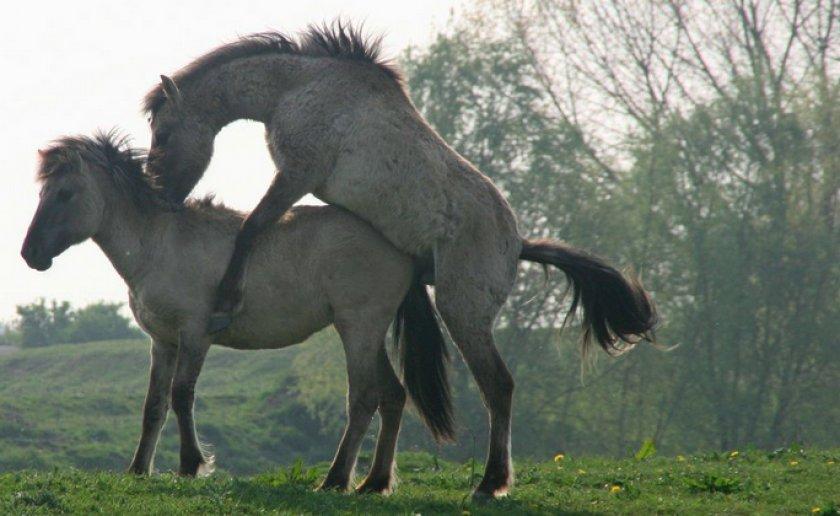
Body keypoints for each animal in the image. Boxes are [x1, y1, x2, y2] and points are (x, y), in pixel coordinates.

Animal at [143, 23, 656, 500]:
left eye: (163, 133)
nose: (159, 196)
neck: (297, 86)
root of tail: (517, 243)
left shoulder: (296, 175)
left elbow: (252, 228)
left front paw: (226, 301)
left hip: (462, 313)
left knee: (499, 387)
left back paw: (490, 483)